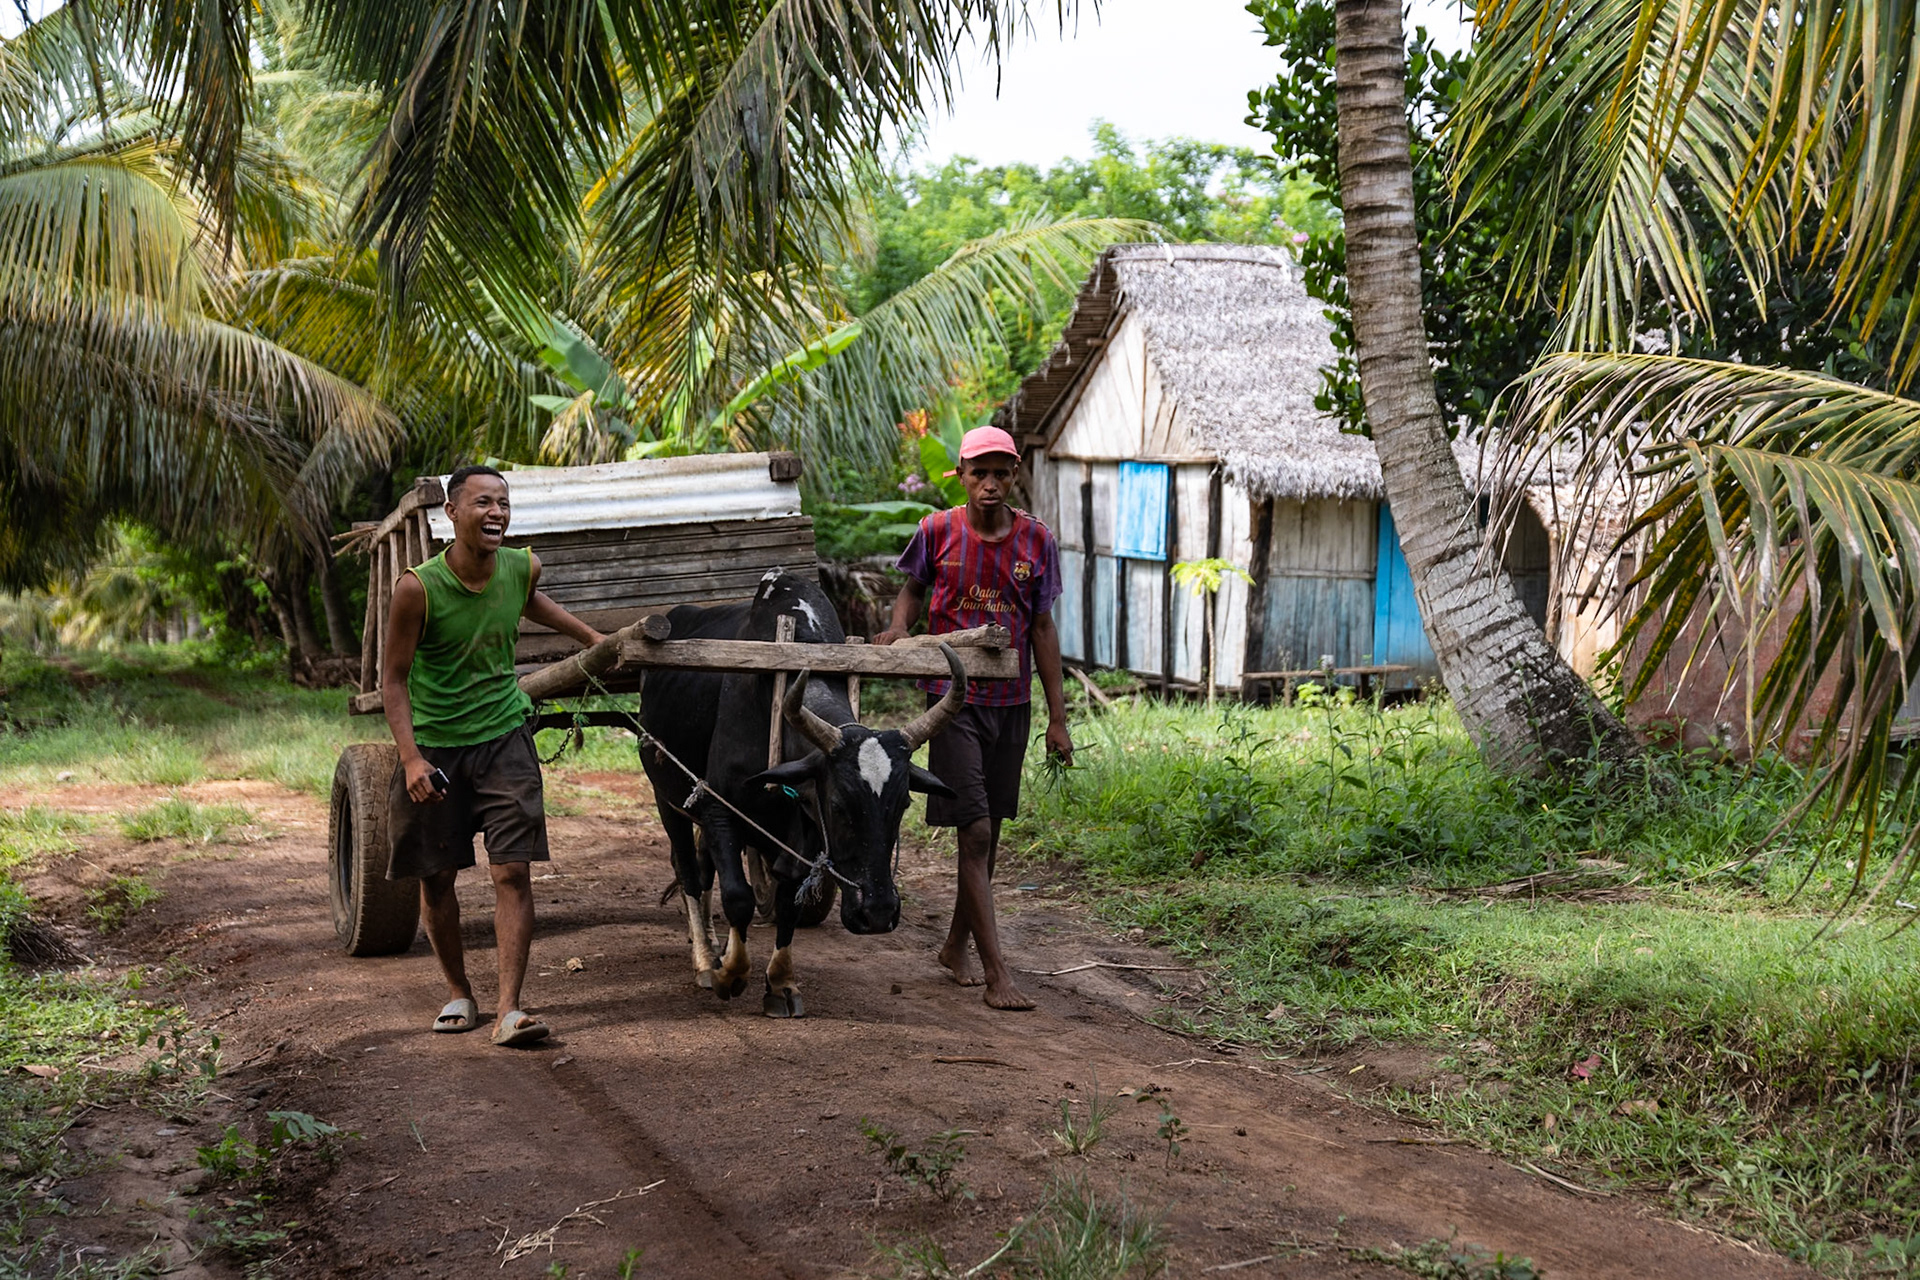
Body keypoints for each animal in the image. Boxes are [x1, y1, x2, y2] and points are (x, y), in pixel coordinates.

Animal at [637, 570, 965, 1017]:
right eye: (839, 804)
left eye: (903, 804)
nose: (878, 913)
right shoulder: (719, 808)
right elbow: (737, 896)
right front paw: (730, 974)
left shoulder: (805, 832)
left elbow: (789, 900)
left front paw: (781, 984)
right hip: (666, 797)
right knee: (688, 870)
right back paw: (705, 959)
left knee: (704, 870)